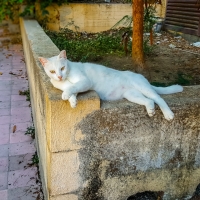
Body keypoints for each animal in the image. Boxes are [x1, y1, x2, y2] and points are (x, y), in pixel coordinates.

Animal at [38, 50, 184, 121]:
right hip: (132, 95)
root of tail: (141, 77)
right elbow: (71, 89)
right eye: (52, 71)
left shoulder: (85, 82)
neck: (66, 78)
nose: (59, 76)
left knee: (158, 98)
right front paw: (72, 101)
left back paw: (168, 114)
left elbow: (73, 87)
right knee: (149, 101)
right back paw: (151, 110)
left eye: (62, 68)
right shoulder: (70, 85)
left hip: (143, 87)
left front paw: (67, 95)